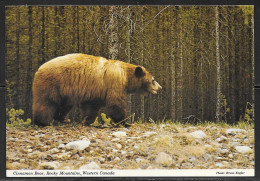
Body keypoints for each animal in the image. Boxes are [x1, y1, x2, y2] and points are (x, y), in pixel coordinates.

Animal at [32, 53, 162, 126]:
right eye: (153, 80)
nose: (160, 88)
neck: (126, 76)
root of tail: (39, 69)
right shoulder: (114, 83)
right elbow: (116, 103)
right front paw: (124, 122)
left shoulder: (95, 90)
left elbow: (91, 106)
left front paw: (86, 121)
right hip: (52, 84)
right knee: (46, 103)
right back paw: (43, 122)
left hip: (64, 91)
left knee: (64, 105)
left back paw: (64, 118)